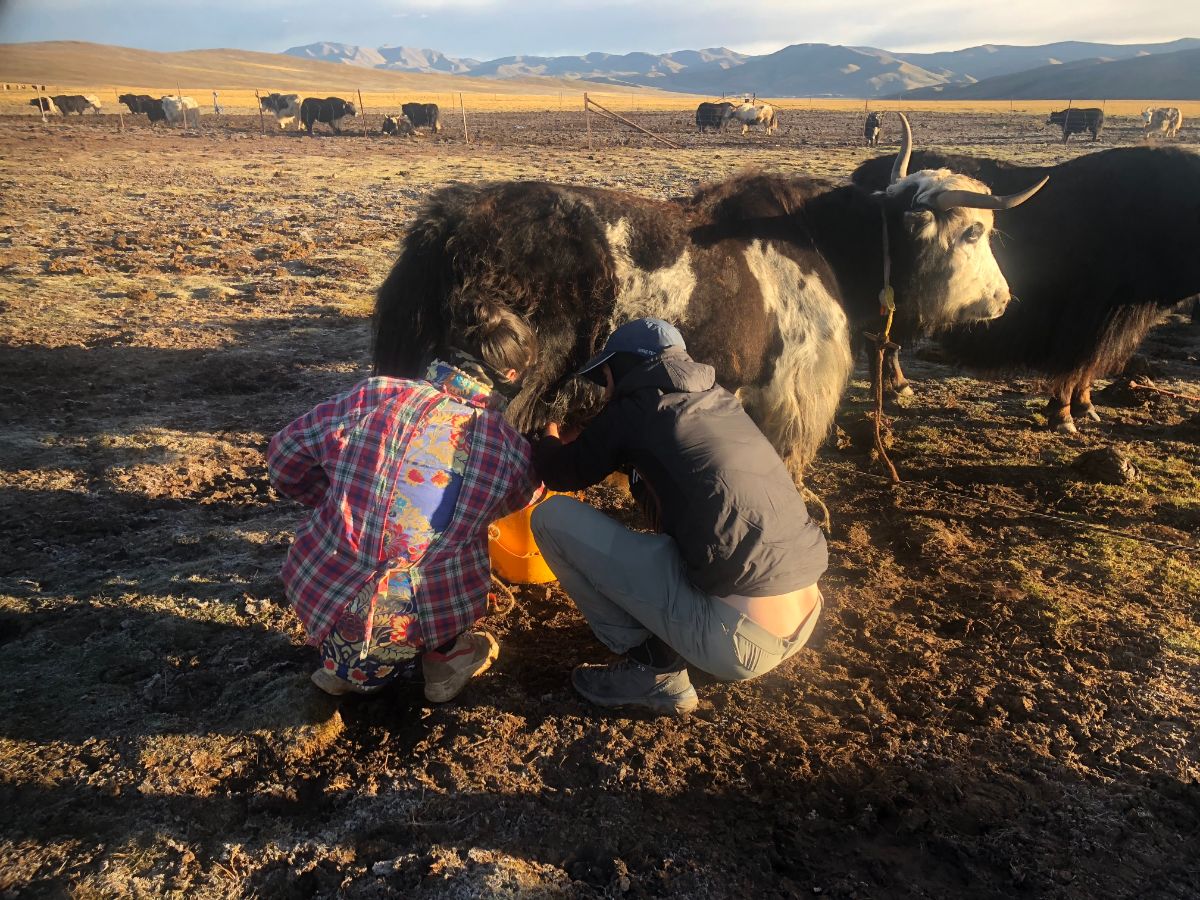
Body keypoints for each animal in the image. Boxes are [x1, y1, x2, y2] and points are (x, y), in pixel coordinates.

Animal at [372, 115, 1047, 480]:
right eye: (972, 231)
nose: (1004, 300)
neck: (829, 244)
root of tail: (442, 229)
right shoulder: (796, 386)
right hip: (511, 377)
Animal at [852, 146, 1200, 433]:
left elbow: (1087, 367)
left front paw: (1085, 406)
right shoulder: (1081, 319)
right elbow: (1073, 367)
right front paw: (1063, 416)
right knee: (880, 343)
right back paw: (894, 388)